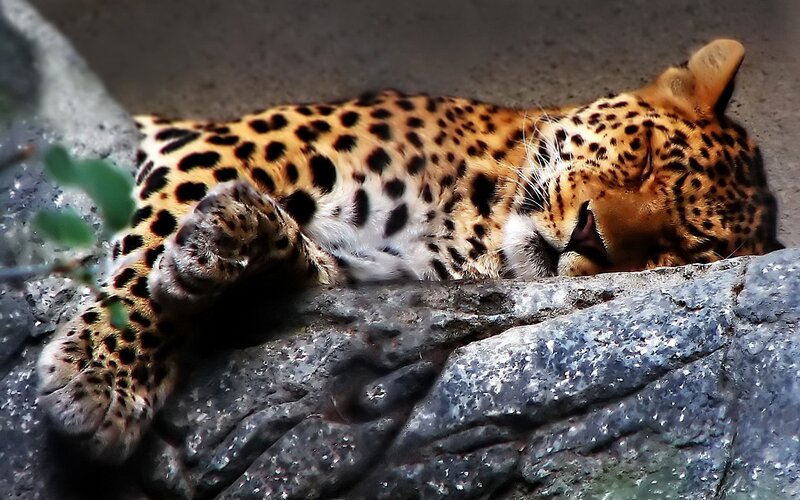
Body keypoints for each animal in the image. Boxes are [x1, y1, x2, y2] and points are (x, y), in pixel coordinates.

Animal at [36, 39, 782, 462]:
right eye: (648, 159)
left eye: (677, 249)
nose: (590, 236)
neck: (472, 227)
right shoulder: (231, 143)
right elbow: (147, 255)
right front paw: (102, 380)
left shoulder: (362, 270)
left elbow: (296, 257)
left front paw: (236, 237)